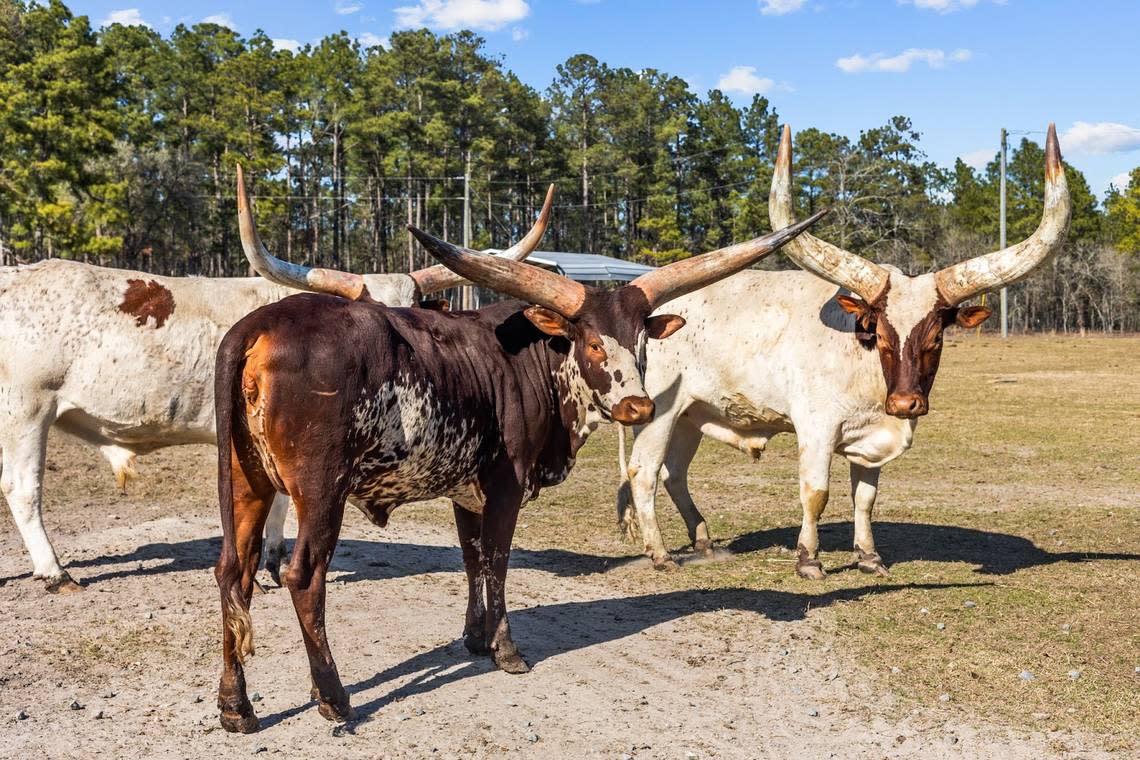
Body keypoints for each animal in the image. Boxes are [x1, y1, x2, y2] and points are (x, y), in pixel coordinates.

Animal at [0, 174, 551, 592]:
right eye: (369, 318)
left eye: (414, 311)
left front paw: (269, 559)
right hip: (26, 411)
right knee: (23, 489)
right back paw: (55, 572)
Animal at [615, 123, 1067, 576]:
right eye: (881, 336)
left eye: (936, 338)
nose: (905, 403)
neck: (865, 368)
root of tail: (641, 310)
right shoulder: (816, 428)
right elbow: (816, 493)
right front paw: (808, 558)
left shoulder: (869, 440)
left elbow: (865, 498)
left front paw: (868, 556)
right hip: (659, 412)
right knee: (644, 473)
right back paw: (660, 554)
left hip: (690, 415)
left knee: (674, 474)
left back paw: (704, 541)